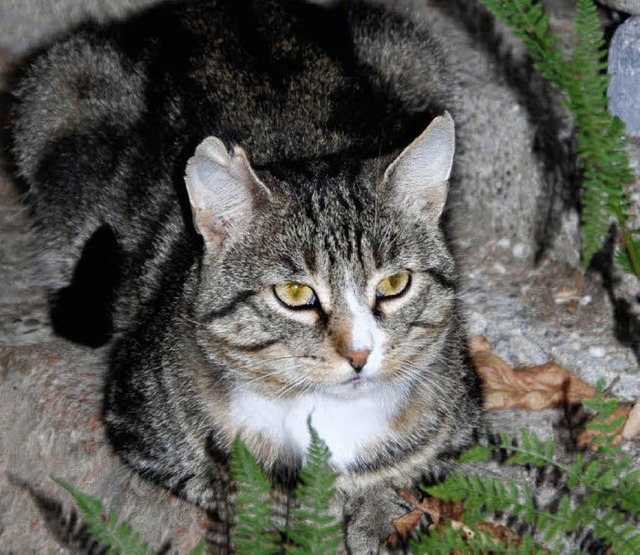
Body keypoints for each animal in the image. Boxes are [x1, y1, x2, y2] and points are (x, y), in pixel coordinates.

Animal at [11, 0, 480, 552]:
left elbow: (410, 474)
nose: (360, 354)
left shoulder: (462, 422)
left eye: (393, 285)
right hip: (55, 89)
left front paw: (380, 517)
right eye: (295, 293)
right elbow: (233, 488)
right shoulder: (140, 424)